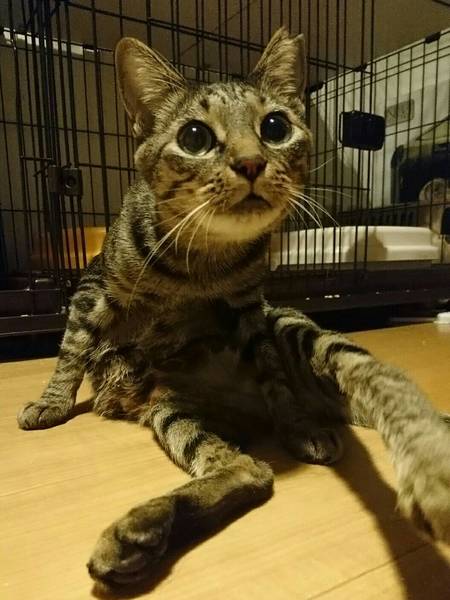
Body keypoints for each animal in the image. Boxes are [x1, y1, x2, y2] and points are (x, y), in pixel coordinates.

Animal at [17, 29, 450, 587]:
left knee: (372, 382)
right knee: (247, 469)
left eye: (275, 127)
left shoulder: (251, 309)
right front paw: (51, 403)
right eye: (194, 137)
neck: (202, 262)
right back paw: (137, 536)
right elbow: (70, 353)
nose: (250, 163)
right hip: (171, 406)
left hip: (291, 329)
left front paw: (296, 427)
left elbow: (274, 378)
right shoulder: (95, 291)